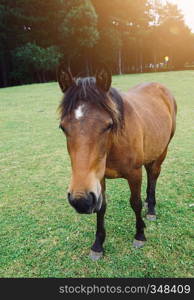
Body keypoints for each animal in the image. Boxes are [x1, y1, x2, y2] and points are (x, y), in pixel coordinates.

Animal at [56, 65, 177, 260]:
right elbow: (101, 207)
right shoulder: (98, 179)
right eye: (63, 127)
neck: (113, 145)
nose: (80, 201)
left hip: (162, 151)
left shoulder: (134, 174)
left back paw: (151, 209)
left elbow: (135, 203)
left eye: (108, 125)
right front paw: (98, 245)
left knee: (153, 175)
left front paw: (140, 235)